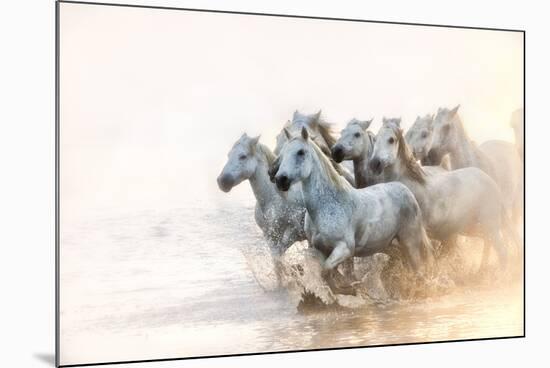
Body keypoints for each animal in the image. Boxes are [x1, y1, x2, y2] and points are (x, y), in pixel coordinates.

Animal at [274, 126, 434, 294]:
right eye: (283, 153)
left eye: (301, 152)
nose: (280, 180)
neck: (327, 206)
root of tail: (405, 190)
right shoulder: (319, 249)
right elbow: (324, 272)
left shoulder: (344, 248)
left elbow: (327, 270)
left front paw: (349, 288)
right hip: (389, 245)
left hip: (410, 242)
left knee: (418, 269)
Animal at [370, 119, 516, 268]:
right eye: (374, 139)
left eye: (391, 140)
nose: (374, 163)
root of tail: (491, 183)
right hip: (473, 228)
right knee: (489, 243)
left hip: (490, 225)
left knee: (502, 251)